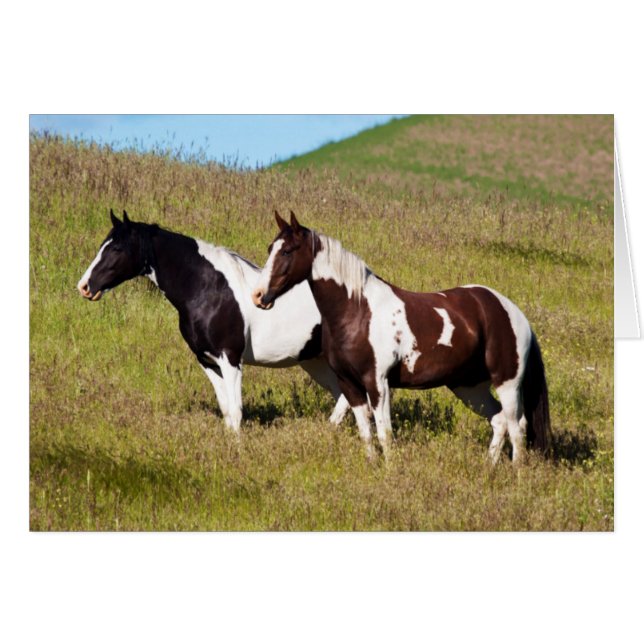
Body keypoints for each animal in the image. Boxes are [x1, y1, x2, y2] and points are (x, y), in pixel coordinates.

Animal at [77, 210, 350, 432]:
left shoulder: (230, 358)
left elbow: (236, 412)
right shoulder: (207, 360)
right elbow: (227, 410)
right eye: (103, 245)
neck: (208, 289)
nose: (85, 286)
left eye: (116, 249)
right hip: (314, 361)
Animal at [252, 211, 551, 464]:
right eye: (270, 248)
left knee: (517, 426)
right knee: (499, 421)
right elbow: (366, 432)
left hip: (507, 382)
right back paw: (490, 467)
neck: (357, 310)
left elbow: (385, 433)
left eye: (288, 250)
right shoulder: (349, 384)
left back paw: (516, 472)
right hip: (468, 386)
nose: (259, 296)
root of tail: (513, 313)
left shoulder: (378, 383)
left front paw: (390, 470)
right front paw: (373, 465)